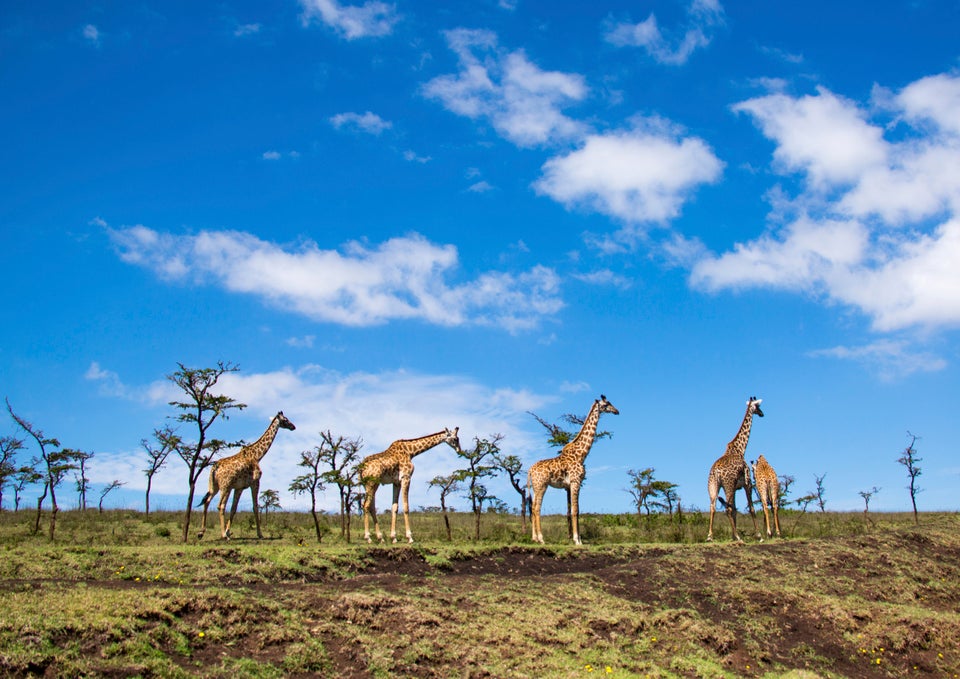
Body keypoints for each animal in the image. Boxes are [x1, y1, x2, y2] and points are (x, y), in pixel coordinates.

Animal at [197, 410, 294, 540]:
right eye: (286, 419)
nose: (293, 426)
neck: (257, 455)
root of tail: (214, 468)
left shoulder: (239, 487)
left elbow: (233, 509)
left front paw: (229, 531)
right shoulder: (255, 482)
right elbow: (255, 507)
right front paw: (260, 534)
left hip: (214, 486)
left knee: (207, 502)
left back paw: (201, 532)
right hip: (225, 487)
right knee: (220, 506)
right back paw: (223, 535)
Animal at [524, 394, 624, 548]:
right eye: (607, 404)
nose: (616, 411)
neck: (581, 454)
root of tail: (530, 470)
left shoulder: (575, 484)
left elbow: (577, 510)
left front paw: (579, 539)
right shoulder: (575, 482)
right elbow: (575, 510)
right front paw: (577, 540)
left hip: (535, 487)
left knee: (533, 507)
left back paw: (534, 538)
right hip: (542, 485)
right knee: (536, 508)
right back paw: (541, 539)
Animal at [704, 396, 764, 544]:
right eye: (758, 407)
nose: (762, 414)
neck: (740, 448)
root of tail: (716, 472)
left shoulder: (737, 487)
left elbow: (736, 509)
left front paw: (732, 535)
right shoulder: (747, 483)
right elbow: (751, 508)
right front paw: (759, 536)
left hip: (714, 485)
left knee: (713, 506)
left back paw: (710, 536)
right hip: (728, 484)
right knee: (727, 508)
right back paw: (738, 537)